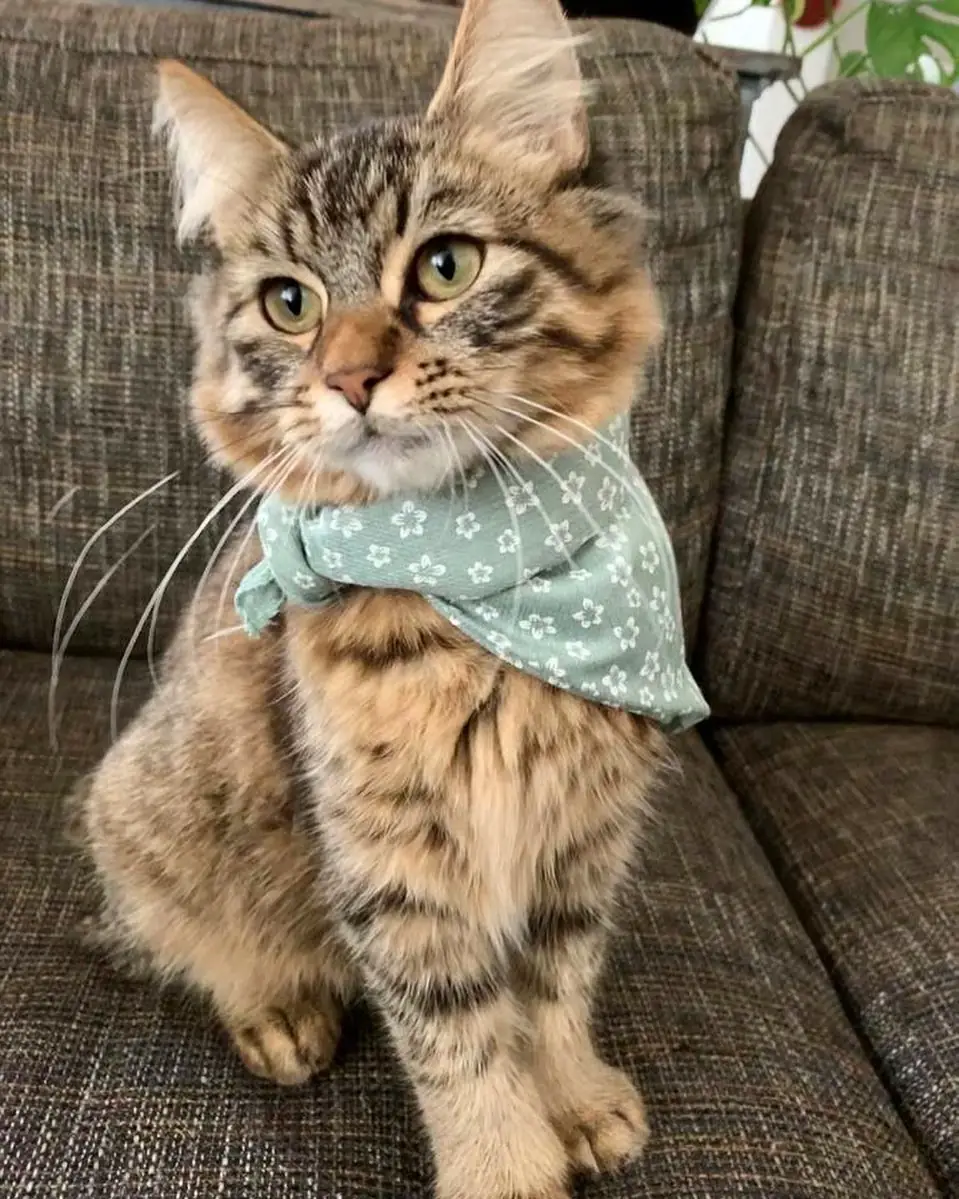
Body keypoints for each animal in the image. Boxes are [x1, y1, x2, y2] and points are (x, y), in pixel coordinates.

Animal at [76, 1, 669, 1196]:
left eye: (444, 266)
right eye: (288, 304)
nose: (349, 378)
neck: (472, 585)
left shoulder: (579, 839)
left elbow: (552, 988)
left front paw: (573, 1099)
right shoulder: (388, 857)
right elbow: (457, 1036)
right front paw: (506, 1169)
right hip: (148, 812)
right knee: (182, 938)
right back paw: (280, 1014)